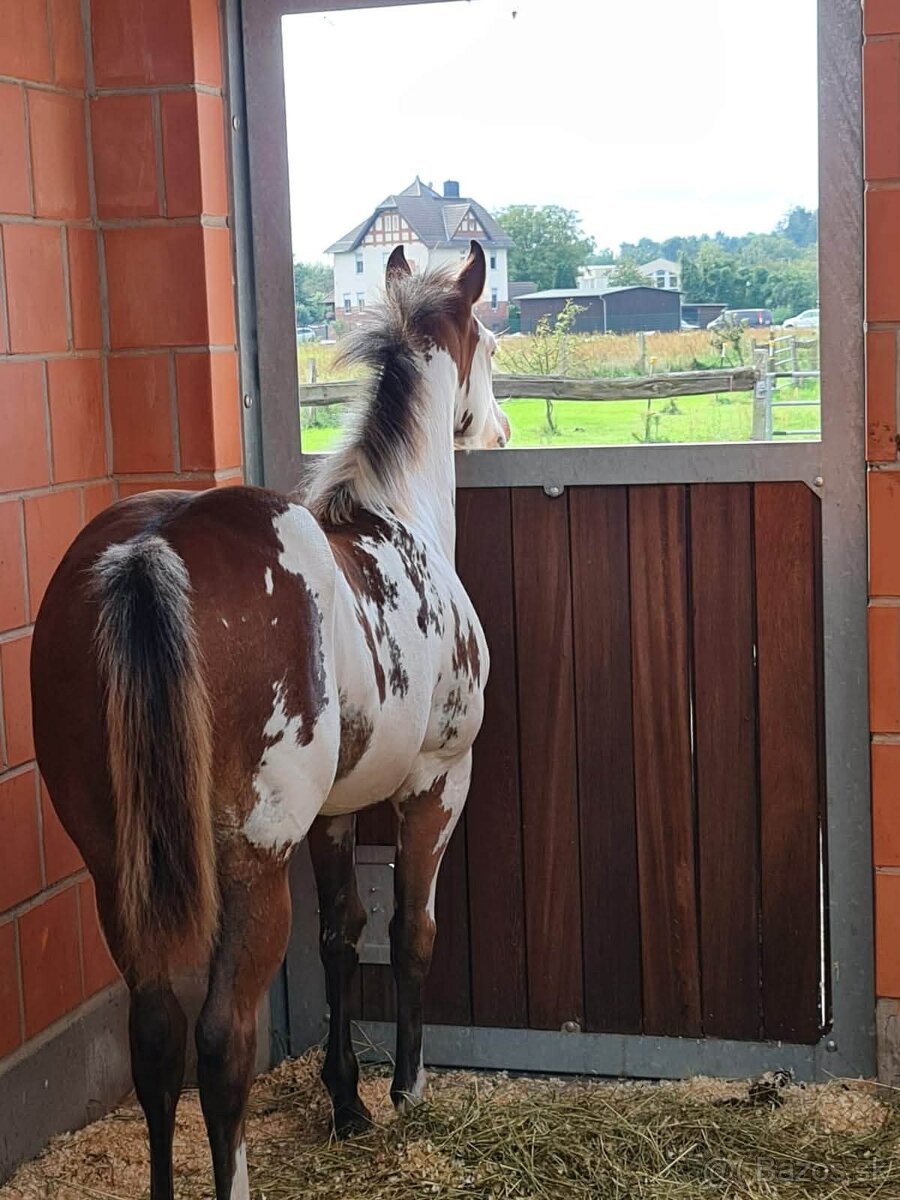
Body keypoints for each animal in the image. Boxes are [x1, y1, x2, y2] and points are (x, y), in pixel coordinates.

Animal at [30, 241, 508, 1200]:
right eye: (492, 342)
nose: (503, 427)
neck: (399, 519)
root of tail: (152, 547)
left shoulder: (332, 817)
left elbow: (341, 937)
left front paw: (347, 1101)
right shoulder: (437, 784)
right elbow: (410, 933)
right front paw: (404, 1089)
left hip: (115, 872)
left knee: (156, 1034)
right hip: (253, 865)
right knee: (221, 1041)